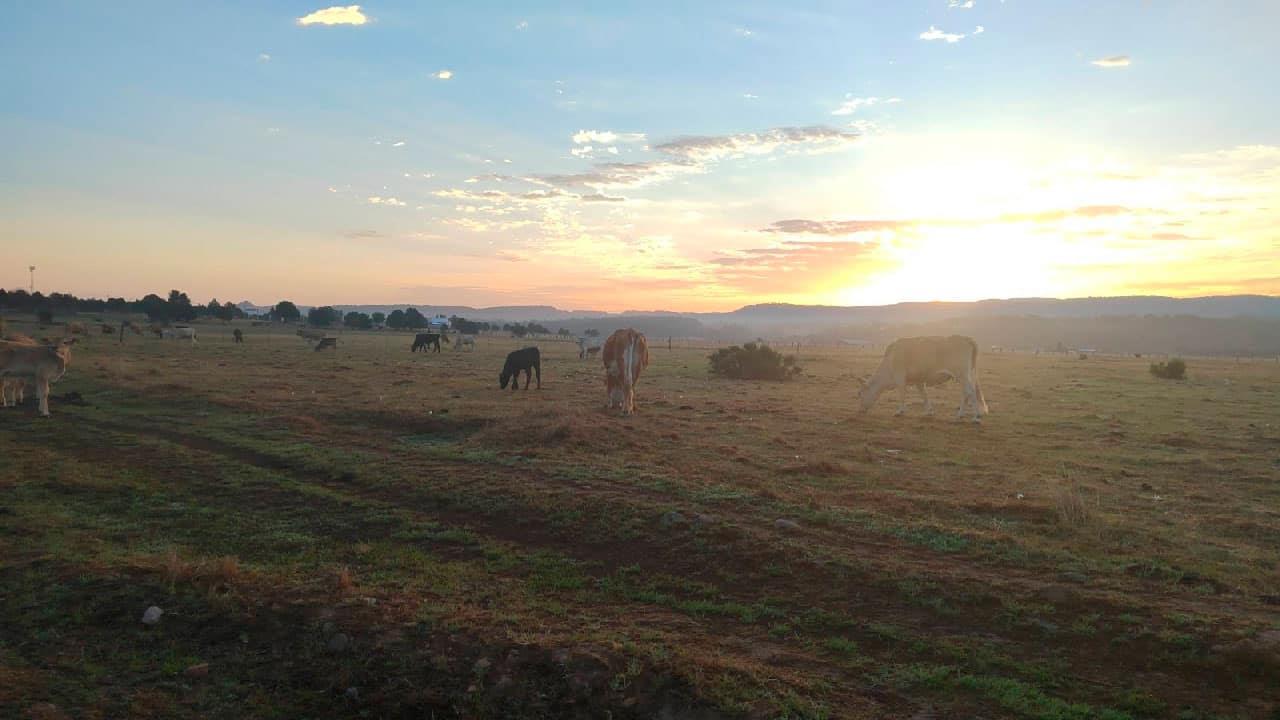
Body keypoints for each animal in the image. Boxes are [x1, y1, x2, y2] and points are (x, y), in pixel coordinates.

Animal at [860, 335, 988, 420]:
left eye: (860, 394)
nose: (860, 409)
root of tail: (966, 338)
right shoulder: (918, 380)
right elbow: (923, 394)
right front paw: (929, 412)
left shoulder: (899, 377)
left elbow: (902, 394)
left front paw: (900, 411)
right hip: (966, 376)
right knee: (966, 392)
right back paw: (961, 414)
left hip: (962, 374)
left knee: (970, 392)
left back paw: (976, 417)